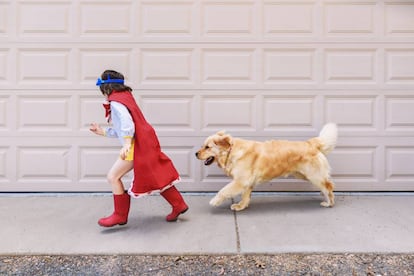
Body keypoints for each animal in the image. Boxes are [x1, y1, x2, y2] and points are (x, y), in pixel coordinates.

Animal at [196, 123, 338, 211]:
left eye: (207, 147)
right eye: (203, 146)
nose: (195, 153)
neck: (232, 151)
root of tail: (311, 143)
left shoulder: (240, 181)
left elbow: (224, 190)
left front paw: (215, 201)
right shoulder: (247, 182)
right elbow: (245, 196)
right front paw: (241, 206)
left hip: (313, 175)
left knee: (329, 186)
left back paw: (329, 202)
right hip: (304, 175)